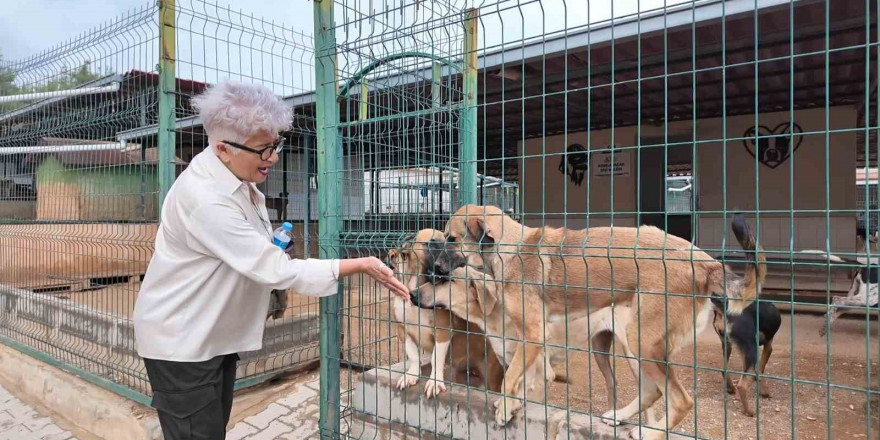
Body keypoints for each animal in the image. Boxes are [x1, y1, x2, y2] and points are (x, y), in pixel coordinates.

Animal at [388, 229, 506, 398]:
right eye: (431, 244)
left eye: (449, 240)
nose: (458, 259)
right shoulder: (403, 330)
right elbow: (413, 356)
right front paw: (411, 375)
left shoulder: (442, 332)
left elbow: (435, 359)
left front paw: (435, 382)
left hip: (492, 375)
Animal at [436, 207, 768, 440]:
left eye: (451, 239)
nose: (435, 268)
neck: (509, 249)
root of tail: (705, 261)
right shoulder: (528, 343)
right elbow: (521, 379)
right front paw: (514, 404)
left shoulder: (532, 335)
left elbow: (511, 379)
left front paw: (505, 407)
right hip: (629, 348)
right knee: (653, 391)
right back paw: (619, 416)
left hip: (641, 342)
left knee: (681, 400)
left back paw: (649, 432)